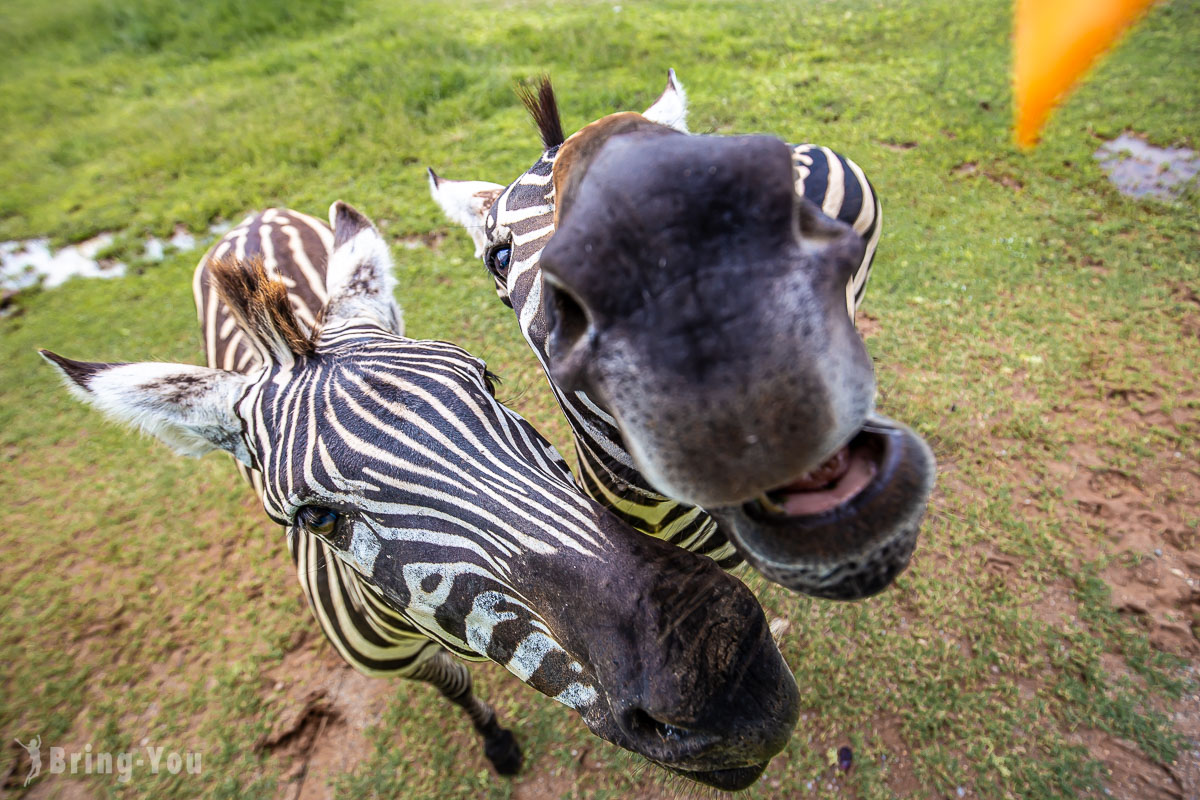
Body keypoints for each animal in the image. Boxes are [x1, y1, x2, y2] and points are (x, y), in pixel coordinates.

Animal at [39, 203, 806, 791]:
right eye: (318, 518)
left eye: (489, 382)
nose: (728, 679)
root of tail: (249, 223)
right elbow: (455, 686)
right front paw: (497, 746)